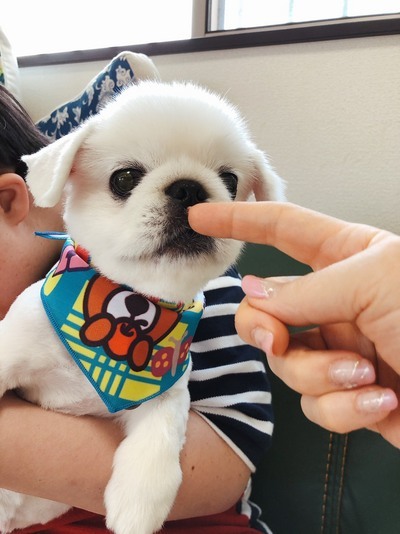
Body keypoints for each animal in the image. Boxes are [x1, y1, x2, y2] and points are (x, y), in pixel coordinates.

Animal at [0, 81, 285, 534]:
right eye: (125, 178)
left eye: (229, 180)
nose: (190, 188)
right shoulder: (12, 351)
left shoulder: (167, 386)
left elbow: (159, 440)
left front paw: (138, 504)